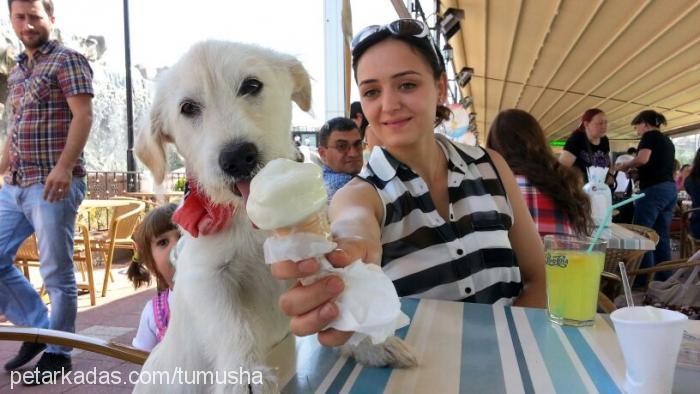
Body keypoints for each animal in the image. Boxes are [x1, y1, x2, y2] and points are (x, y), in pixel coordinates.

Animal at [134, 40, 412, 394]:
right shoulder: (205, 277)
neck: (248, 221)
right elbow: (232, 326)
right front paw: (245, 375)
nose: (238, 157)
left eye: (252, 85)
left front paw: (367, 339)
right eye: (188, 108)